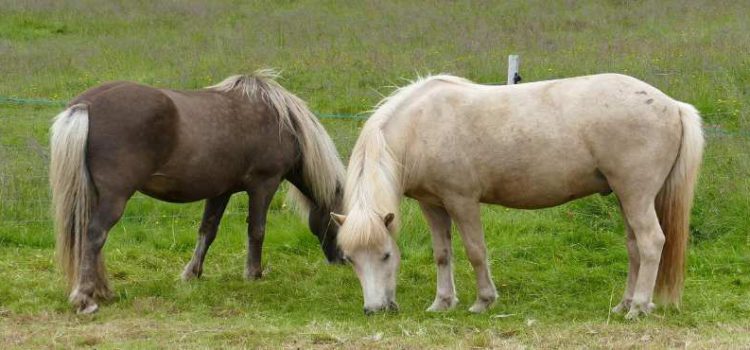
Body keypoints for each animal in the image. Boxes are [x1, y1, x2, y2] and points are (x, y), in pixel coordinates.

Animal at [50, 69, 346, 314]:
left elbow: (207, 231)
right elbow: (257, 230)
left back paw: (102, 291)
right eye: (341, 222)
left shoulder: (221, 191)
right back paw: (85, 299)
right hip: (115, 198)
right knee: (95, 234)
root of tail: (86, 105)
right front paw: (253, 274)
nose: (342, 261)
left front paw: (191, 274)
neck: (282, 121)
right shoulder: (264, 184)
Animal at [334, 74, 704, 320]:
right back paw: (625, 303)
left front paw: (483, 301)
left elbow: (476, 251)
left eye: (385, 255)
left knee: (651, 242)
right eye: (350, 259)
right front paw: (442, 302)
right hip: (626, 198)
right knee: (634, 247)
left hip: (636, 196)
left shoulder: (462, 201)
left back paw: (638, 307)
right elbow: (442, 254)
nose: (374, 309)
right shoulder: (432, 204)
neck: (420, 126)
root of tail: (672, 106)